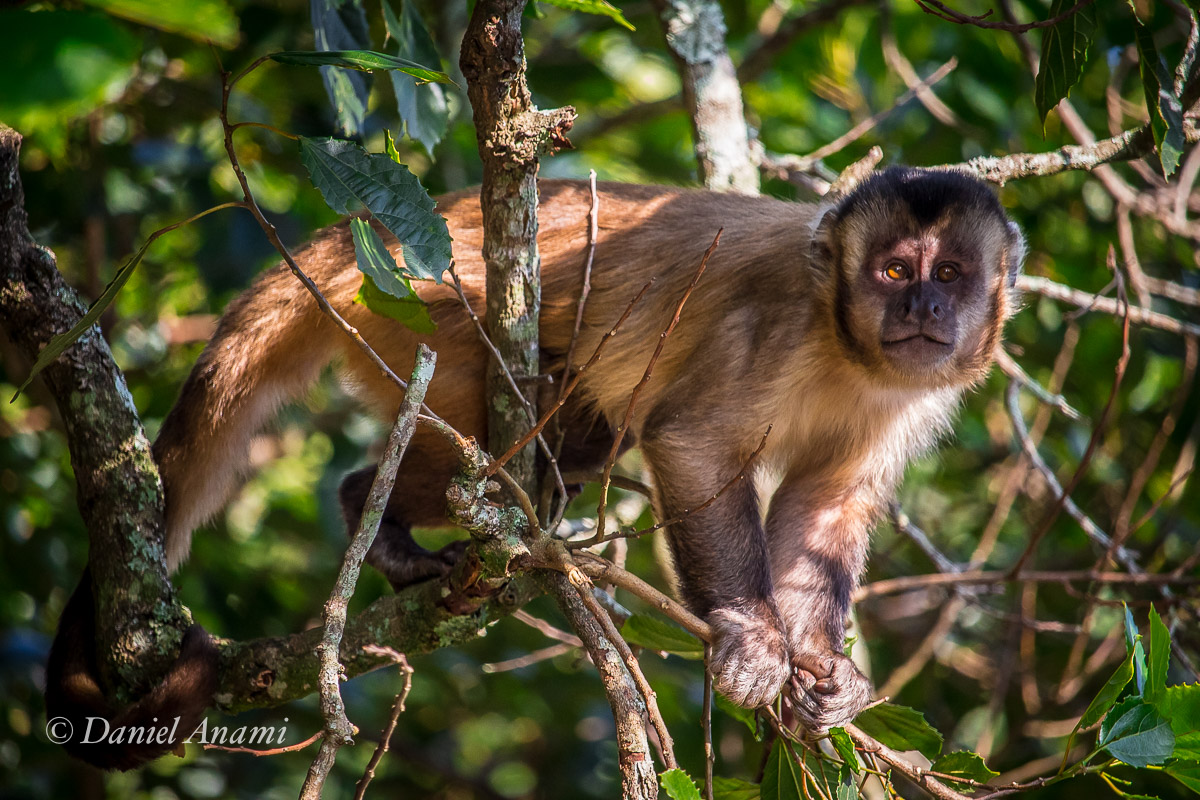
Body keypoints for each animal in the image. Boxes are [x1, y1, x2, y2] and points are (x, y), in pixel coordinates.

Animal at [47, 167, 1025, 768]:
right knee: (496, 444)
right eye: (894, 271)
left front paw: (823, 675)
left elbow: (825, 506)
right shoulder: (777, 320)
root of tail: (374, 231)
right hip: (424, 312)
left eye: (949, 274)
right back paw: (383, 515)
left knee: (584, 441)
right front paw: (753, 638)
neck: (842, 342)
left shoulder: (910, 394)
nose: (925, 308)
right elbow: (692, 444)